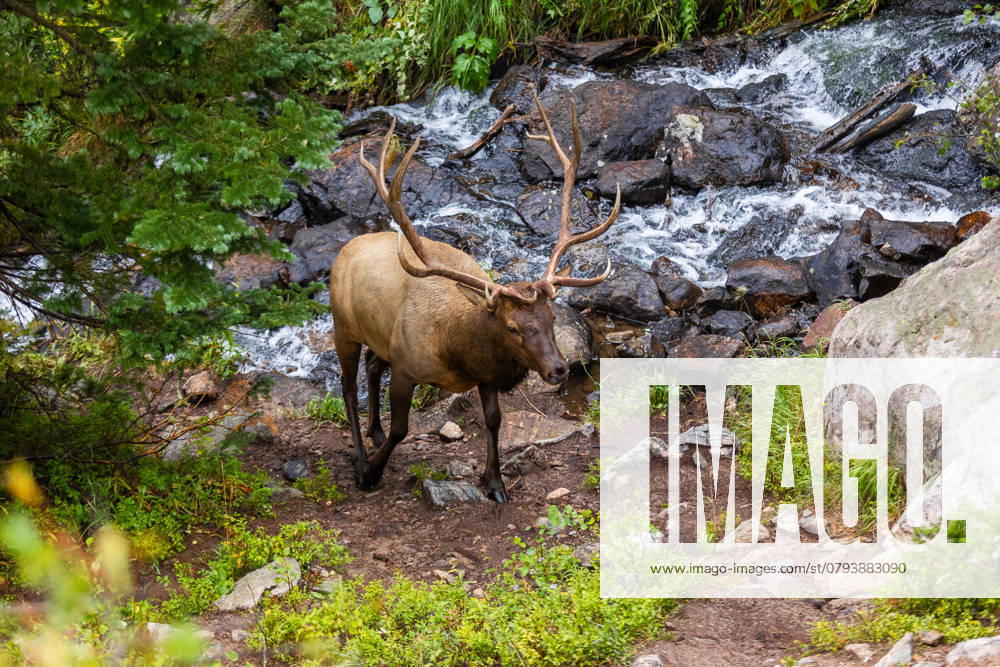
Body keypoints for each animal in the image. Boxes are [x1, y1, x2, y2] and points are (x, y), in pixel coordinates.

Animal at [329, 90, 620, 502]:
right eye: (513, 327)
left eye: (551, 317)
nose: (558, 369)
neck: (457, 351)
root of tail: (347, 248)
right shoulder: (406, 366)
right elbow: (403, 428)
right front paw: (371, 472)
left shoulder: (485, 376)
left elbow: (494, 421)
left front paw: (495, 483)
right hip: (343, 325)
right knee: (348, 385)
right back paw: (359, 455)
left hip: (380, 336)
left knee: (371, 367)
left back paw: (375, 431)